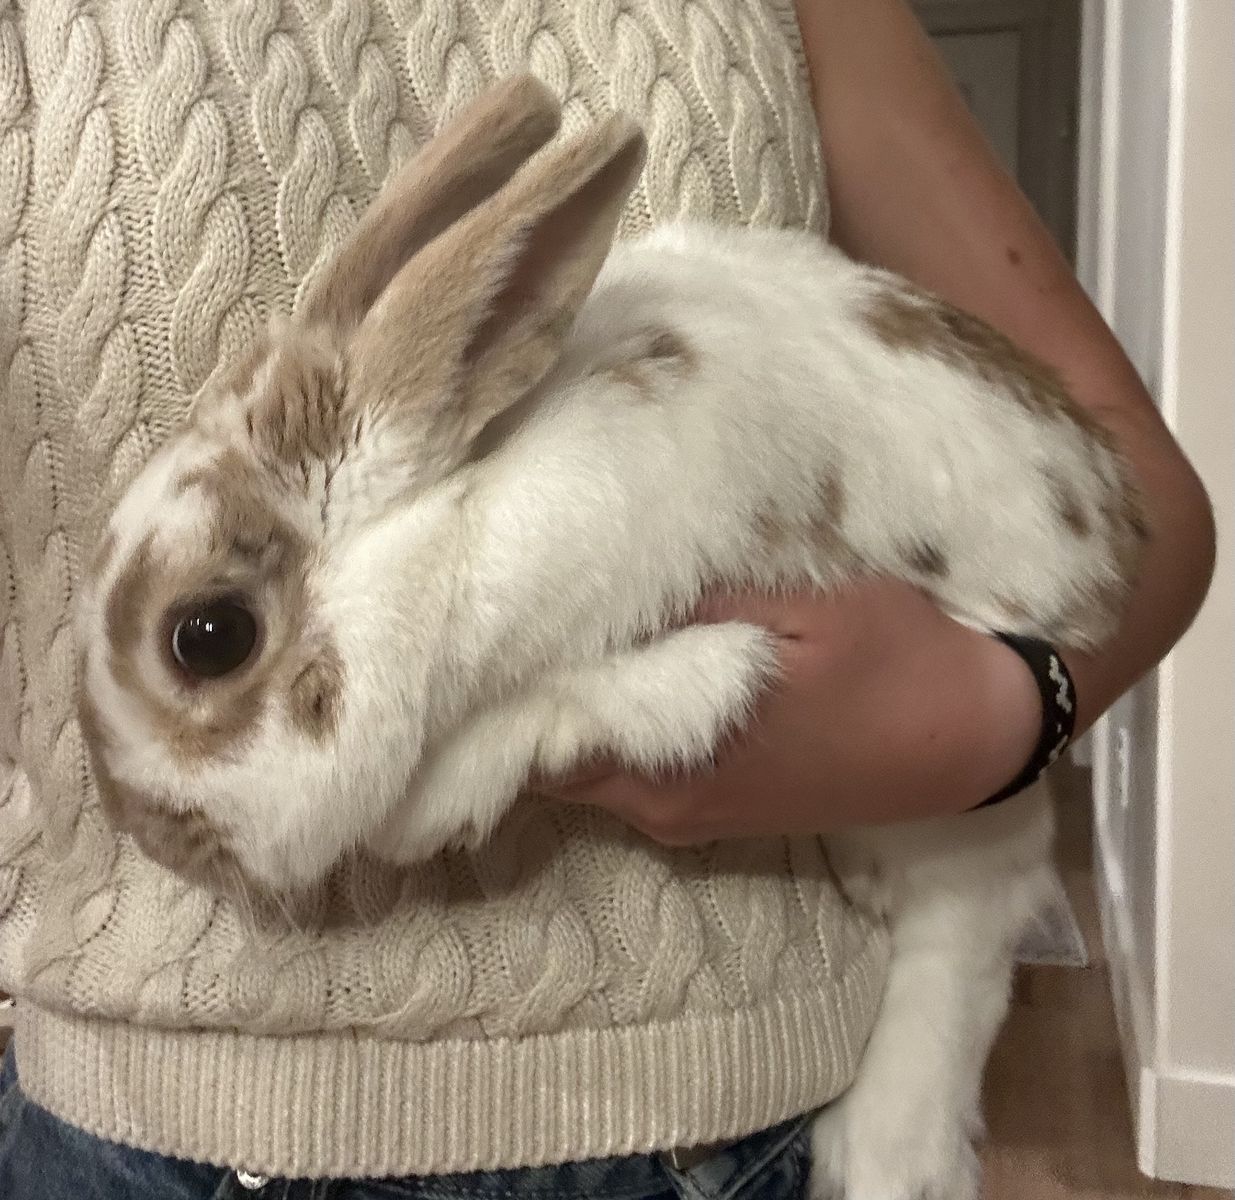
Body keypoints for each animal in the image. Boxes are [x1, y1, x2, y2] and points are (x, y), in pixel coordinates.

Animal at [75, 75, 1146, 1200]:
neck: (457, 513)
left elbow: (612, 702)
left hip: (960, 812)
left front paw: (434, 805)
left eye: (207, 636)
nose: (144, 830)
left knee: (962, 937)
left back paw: (888, 1155)